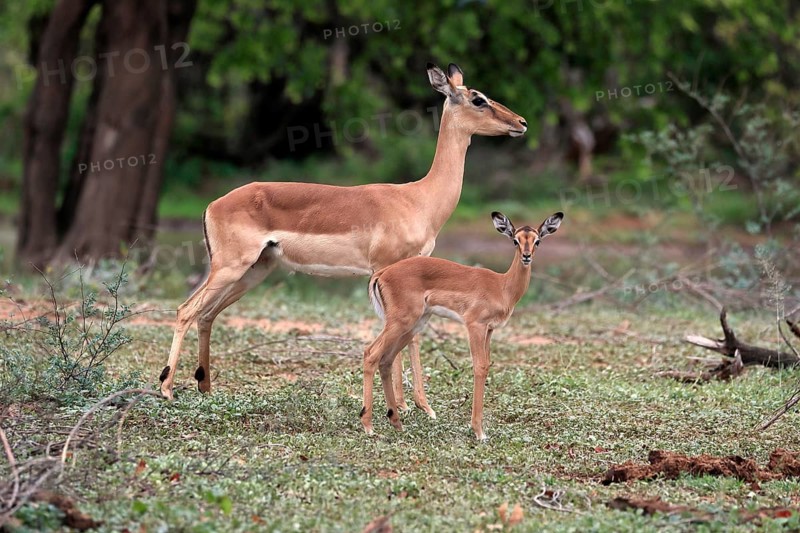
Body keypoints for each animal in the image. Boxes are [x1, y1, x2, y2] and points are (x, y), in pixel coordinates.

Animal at [158, 62, 528, 400]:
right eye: (478, 99)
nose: (521, 123)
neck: (418, 198)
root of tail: (213, 204)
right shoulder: (387, 270)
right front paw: (408, 407)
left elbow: (411, 336)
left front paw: (416, 406)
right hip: (230, 267)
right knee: (185, 311)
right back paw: (166, 389)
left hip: (253, 271)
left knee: (206, 315)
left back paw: (205, 387)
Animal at [360, 211, 564, 440]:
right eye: (515, 240)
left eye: (537, 241)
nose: (526, 256)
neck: (502, 287)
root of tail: (382, 274)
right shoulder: (475, 325)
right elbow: (480, 367)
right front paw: (478, 431)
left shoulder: (489, 330)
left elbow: (487, 365)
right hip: (400, 323)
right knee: (371, 353)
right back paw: (368, 426)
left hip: (412, 326)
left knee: (386, 360)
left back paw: (397, 422)